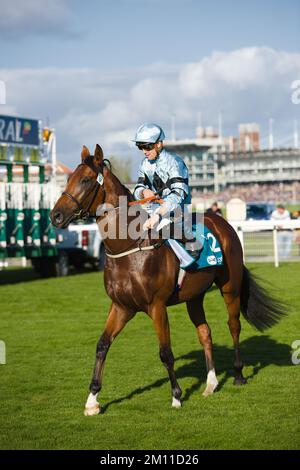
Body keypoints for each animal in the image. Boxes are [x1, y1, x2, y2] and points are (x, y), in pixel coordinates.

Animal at [50, 145, 284, 416]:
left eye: (86, 180)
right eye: (68, 178)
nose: (55, 216)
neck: (131, 248)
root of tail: (223, 223)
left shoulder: (157, 306)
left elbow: (165, 353)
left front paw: (176, 396)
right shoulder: (121, 306)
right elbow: (102, 345)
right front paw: (92, 400)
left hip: (230, 287)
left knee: (233, 325)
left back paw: (237, 374)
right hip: (194, 296)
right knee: (205, 332)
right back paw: (211, 383)